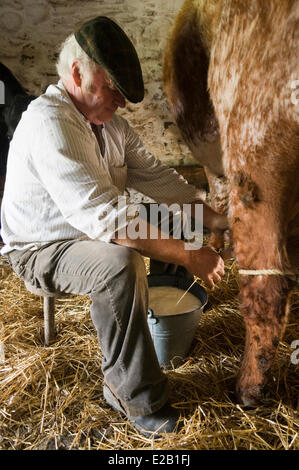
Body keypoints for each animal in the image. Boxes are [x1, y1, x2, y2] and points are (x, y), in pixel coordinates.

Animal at [164, 0, 299, 404]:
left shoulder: (220, 164)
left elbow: (217, 198)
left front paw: (215, 247)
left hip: (253, 148)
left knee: (267, 285)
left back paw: (246, 389)